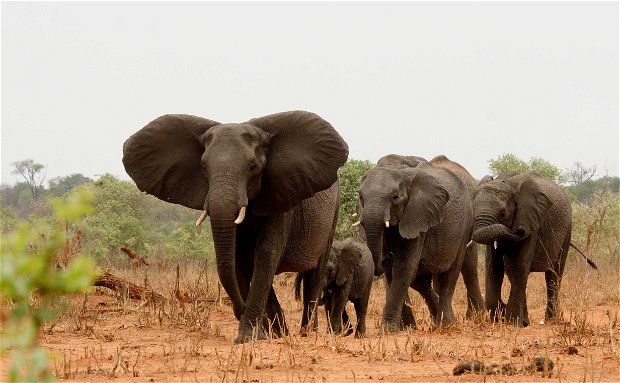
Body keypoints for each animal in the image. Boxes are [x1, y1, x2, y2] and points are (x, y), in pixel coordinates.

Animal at [122, 109, 348, 344]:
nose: (238, 310)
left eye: (252, 167)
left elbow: (265, 256)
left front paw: (248, 338)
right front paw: (258, 335)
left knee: (315, 274)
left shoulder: (280, 200)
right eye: (204, 167)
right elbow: (240, 260)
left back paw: (306, 332)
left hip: (333, 213)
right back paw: (280, 334)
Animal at [356, 154, 478, 332]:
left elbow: (403, 267)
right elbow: (393, 273)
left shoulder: (418, 216)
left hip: (465, 224)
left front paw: (388, 331)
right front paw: (404, 329)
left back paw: (446, 324)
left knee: (451, 273)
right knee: (421, 281)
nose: (389, 256)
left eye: (395, 197)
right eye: (360, 197)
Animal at [472, 173, 592, 328]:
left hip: (567, 230)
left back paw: (550, 321)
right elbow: (494, 267)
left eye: (503, 213)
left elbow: (520, 266)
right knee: (513, 273)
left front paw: (512, 322)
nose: (520, 230)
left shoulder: (531, 222)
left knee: (554, 274)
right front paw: (501, 317)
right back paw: (525, 322)